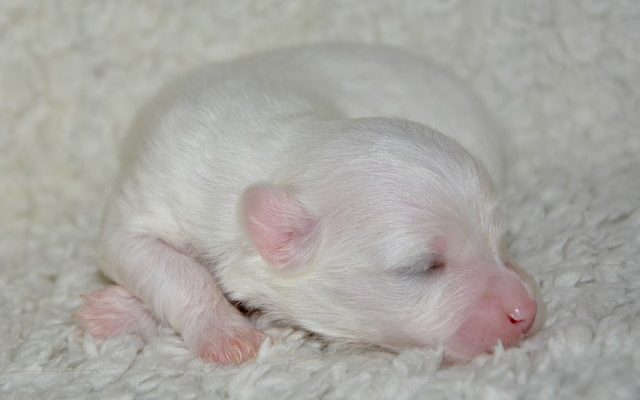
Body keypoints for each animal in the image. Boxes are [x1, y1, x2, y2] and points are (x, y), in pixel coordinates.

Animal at [76, 44, 540, 366]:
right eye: (422, 267)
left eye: (500, 242)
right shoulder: (154, 192)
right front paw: (225, 335)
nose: (527, 311)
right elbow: (168, 266)